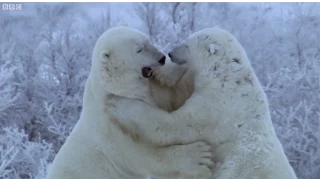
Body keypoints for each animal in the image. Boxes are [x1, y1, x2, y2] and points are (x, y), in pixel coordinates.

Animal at [45, 26, 215, 179]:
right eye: (139, 49)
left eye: (148, 41)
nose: (162, 58)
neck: (117, 89)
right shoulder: (111, 130)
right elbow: (143, 157)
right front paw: (199, 157)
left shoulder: (151, 90)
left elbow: (174, 96)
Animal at [105, 27, 298, 178]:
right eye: (185, 39)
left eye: (186, 45)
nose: (170, 53)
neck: (227, 78)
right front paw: (164, 74)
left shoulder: (217, 108)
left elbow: (174, 125)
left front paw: (117, 103)